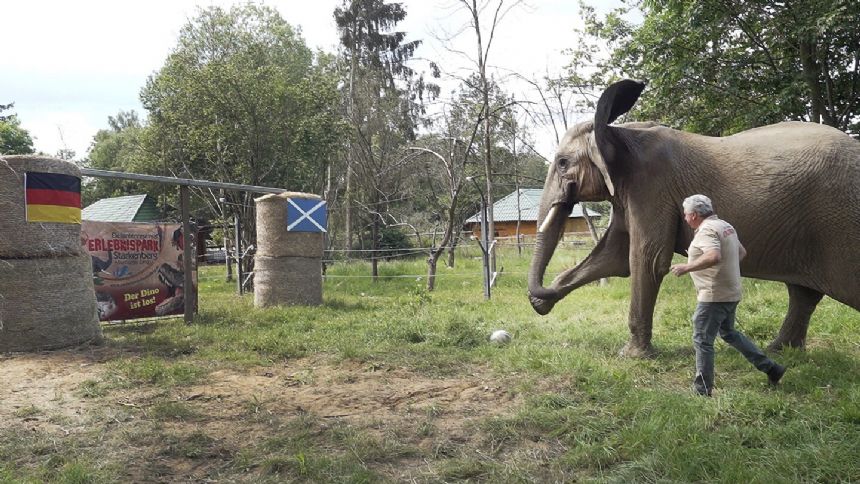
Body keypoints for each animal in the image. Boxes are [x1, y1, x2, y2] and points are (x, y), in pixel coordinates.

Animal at [528, 79, 860, 358]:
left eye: (562, 163)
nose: (541, 295)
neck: (619, 130)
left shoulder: (652, 188)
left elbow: (646, 259)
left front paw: (631, 357)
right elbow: (615, 257)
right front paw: (545, 299)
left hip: (841, 220)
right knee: (803, 294)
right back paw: (780, 351)